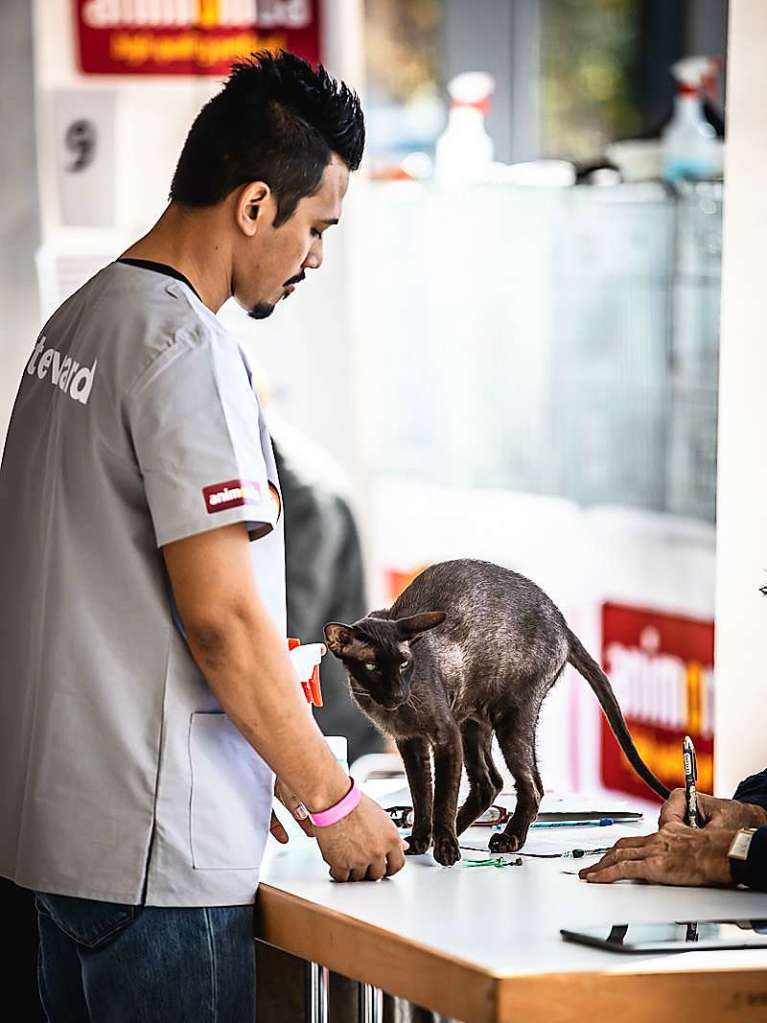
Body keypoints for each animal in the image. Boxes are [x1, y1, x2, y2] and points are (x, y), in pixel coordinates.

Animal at [327, 560, 670, 863]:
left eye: (403, 663)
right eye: (372, 667)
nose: (398, 693)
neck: (394, 709)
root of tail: (562, 622)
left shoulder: (444, 735)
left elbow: (443, 796)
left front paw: (444, 848)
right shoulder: (410, 742)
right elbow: (422, 795)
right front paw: (422, 840)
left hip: (509, 719)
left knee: (531, 785)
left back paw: (505, 838)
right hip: (472, 721)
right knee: (489, 783)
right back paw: (454, 832)